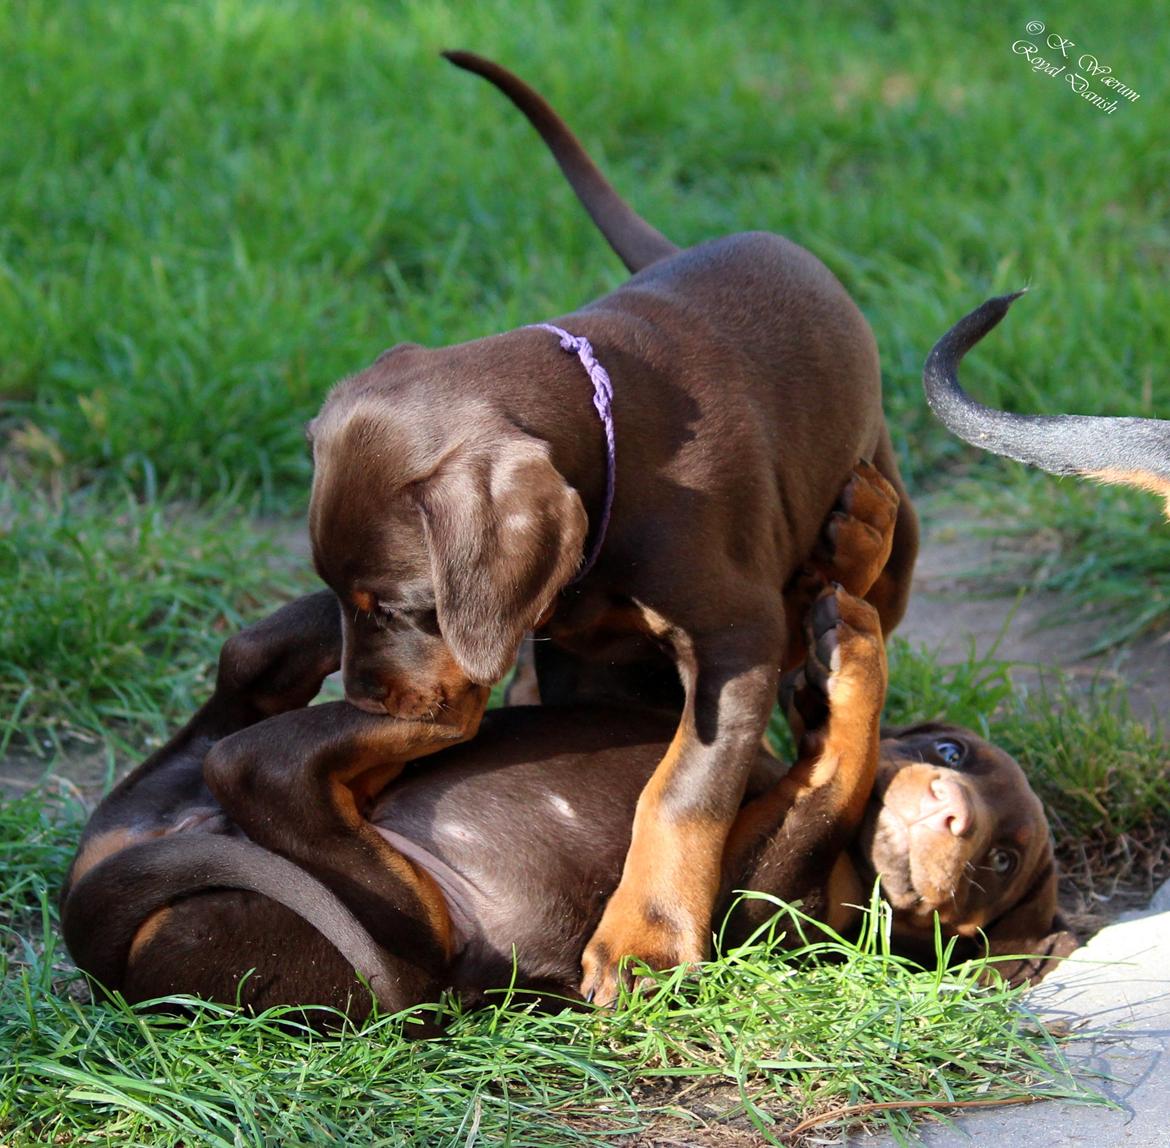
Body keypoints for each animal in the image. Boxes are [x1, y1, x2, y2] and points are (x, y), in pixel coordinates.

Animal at [61, 582, 1071, 1020]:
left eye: (1000, 862)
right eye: (951, 750)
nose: (955, 813)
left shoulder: (762, 907)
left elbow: (827, 784)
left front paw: (851, 660)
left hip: (372, 937)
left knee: (263, 766)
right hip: (162, 789)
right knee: (246, 681)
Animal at [297, 49, 917, 997]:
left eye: (398, 608)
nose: (364, 702)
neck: (610, 429)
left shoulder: (733, 640)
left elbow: (682, 786)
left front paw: (645, 937)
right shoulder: (580, 658)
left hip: (882, 475)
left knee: (883, 574)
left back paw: (858, 533)